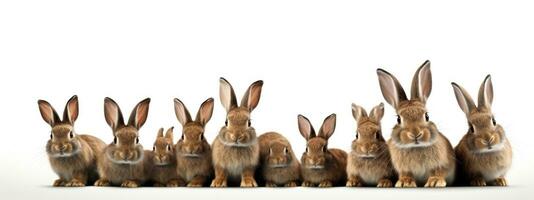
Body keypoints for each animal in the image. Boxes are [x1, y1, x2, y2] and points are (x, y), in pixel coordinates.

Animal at [378, 60, 458, 188]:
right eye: (398, 119)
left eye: (427, 116)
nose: (415, 133)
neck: (416, 147)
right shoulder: (403, 168)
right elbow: (405, 173)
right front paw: (405, 182)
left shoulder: (442, 164)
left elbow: (438, 171)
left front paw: (434, 182)